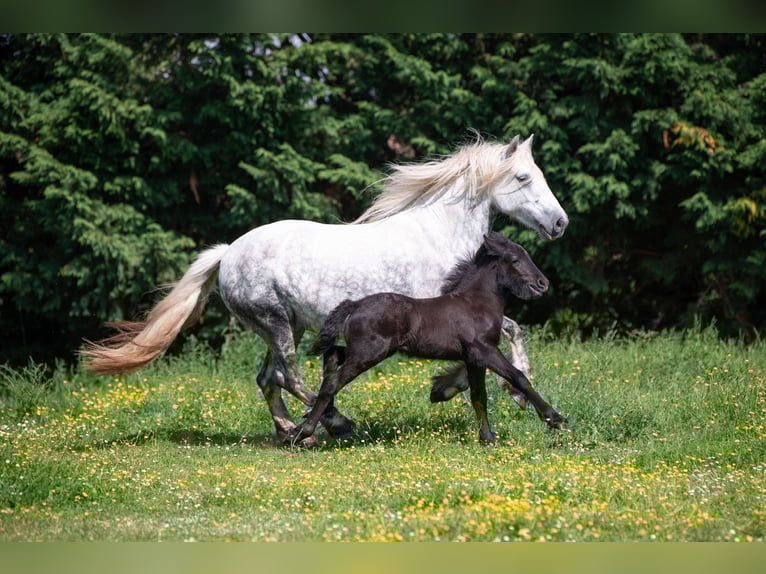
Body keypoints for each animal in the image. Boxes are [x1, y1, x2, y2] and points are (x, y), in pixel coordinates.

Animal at [290, 232, 568, 445]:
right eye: (514, 259)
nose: (542, 283)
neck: (476, 304)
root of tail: (355, 304)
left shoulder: (473, 358)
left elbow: (479, 395)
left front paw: (487, 437)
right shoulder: (484, 350)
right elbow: (518, 377)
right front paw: (555, 419)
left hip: (366, 350)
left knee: (332, 355)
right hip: (369, 353)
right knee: (332, 382)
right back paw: (300, 433)